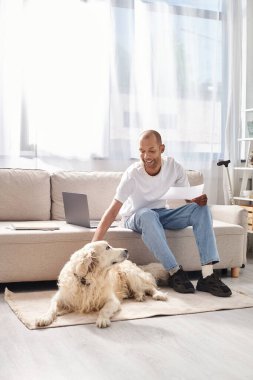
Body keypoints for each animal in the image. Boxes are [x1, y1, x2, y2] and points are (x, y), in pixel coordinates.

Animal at [35, 242, 166, 328]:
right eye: (108, 247)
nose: (126, 250)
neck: (87, 280)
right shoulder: (59, 298)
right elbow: (51, 308)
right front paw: (44, 317)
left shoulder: (113, 300)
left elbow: (104, 309)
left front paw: (102, 319)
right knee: (140, 289)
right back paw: (139, 296)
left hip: (131, 274)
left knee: (149, 286)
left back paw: (158, 294)